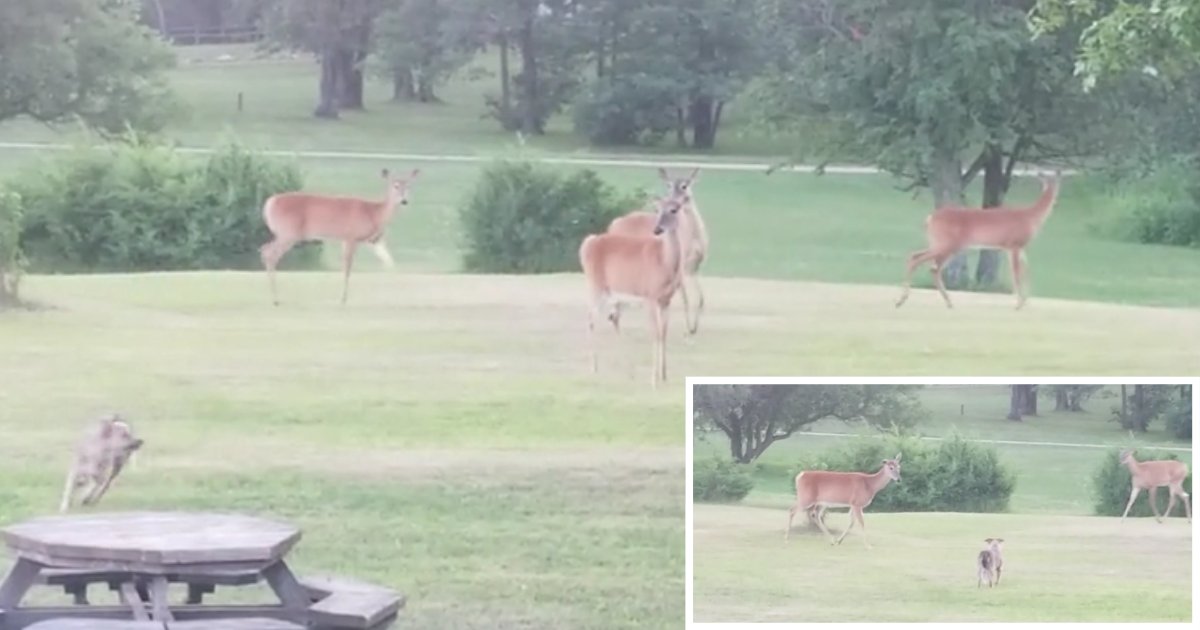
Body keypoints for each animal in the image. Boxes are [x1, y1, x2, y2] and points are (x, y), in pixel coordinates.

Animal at [255, 166, 420, 304]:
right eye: (395, 186)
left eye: (408, 186)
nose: (404, 201)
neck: (374, 213)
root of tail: (269, 203)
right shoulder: (351, 236)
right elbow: (347, 268)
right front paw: (343, 299)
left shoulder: (373, 241)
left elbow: (389, 261)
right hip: (288, 233)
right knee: (269, 253)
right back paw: (275, 299)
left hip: (284, 234)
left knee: (264, 250)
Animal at [578, 192, 686, 388]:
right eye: (657, 209)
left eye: (674, 209)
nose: (657, 229)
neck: (664, 262)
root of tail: (588, 243)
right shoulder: (650, 296)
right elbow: (655, 333)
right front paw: (654, 379)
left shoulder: (666, 299)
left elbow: (664, 333)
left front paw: (664, 375)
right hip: (596, 285)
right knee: (591, 319)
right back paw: (594, 368)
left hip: (617, 296)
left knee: (612, 318)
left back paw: (629, 371)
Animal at [609, 165, 700, 333]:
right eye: (669, 185)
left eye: (685, 185)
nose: (657, 230)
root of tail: (613, 225)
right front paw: (690, 329)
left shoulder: (690, 270)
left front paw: (692, 328)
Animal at [897, 170, 1065, 309]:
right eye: (1057, 185)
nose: (1057, 202)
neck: (1031, 217)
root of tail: (930, 218)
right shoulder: (1014, 245)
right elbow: (1016, 273)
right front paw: (1018, 303)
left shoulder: (1020, 247)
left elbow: (1027, 271)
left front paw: (1026, 302)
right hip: (947, 244)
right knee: (921, 262)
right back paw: (902, 300)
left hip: (940, 243)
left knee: (921, 260)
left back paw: (946, 302)